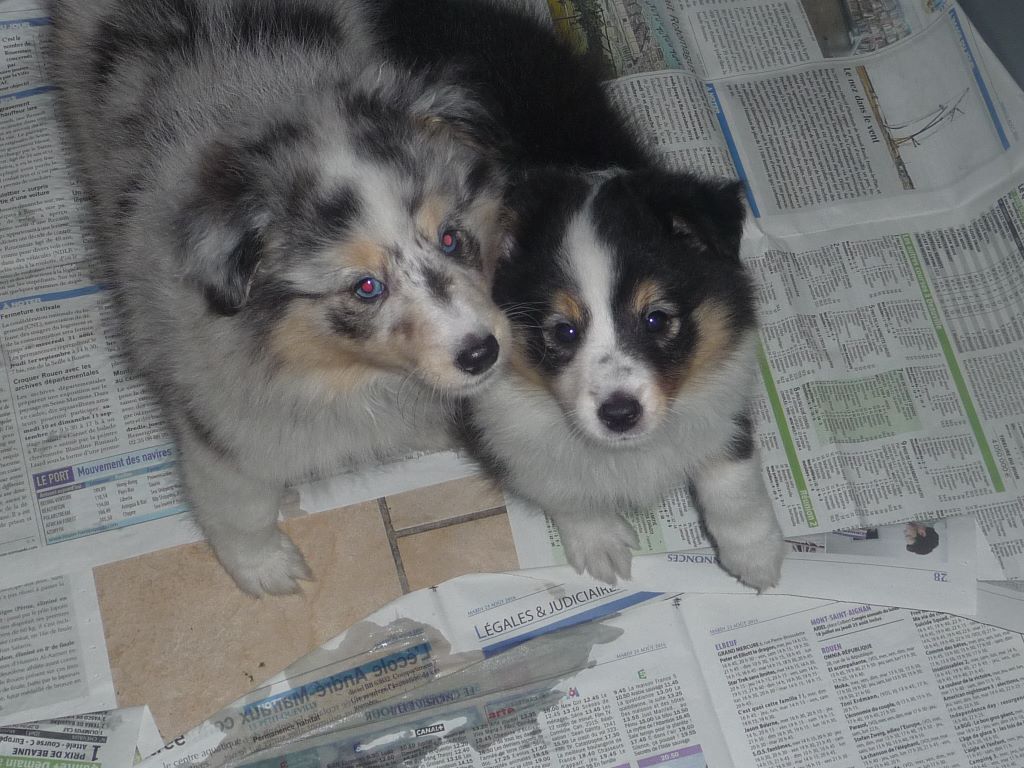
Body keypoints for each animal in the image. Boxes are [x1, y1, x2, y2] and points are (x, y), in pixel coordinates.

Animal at [49, 0, 509, 593]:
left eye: (451, 237)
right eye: (366, 287)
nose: (482, 354)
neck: (341, 374)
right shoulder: (222, 424)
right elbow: (238, 506)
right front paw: (267, 570)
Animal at [374, 0, 782, 589]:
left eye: (657, 320)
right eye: (562, 332)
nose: (620, 414)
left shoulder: (721, 390)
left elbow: (733, 478)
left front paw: (757, 556)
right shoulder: (511, 431)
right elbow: (563, 489)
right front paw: (601, 545)